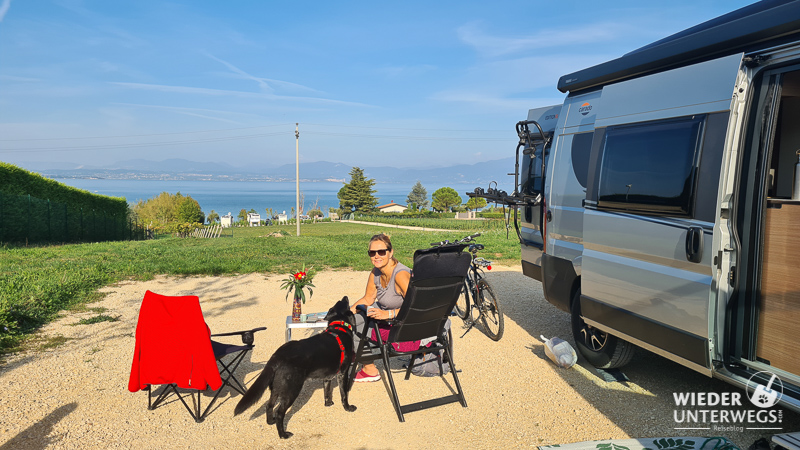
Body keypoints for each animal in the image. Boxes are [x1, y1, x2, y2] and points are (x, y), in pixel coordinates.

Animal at [231, 298, 356, 438]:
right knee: (279, 413)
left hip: (276, 388)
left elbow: (327, 391)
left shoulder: (327, 377)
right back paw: (283, 434)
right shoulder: (343, 373)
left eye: (339, 302)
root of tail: (277, 356)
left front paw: (328, 404)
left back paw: (270, 421)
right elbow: (344, 394)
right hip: (291, 390)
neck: (339, 327)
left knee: (269, 406)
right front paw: (348, 408)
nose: (345, 296)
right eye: (344, 302)